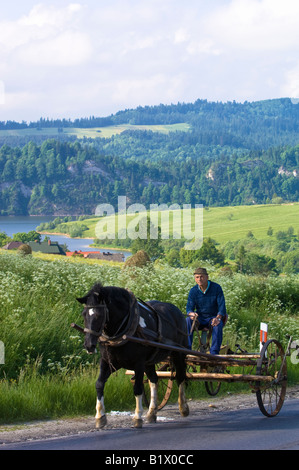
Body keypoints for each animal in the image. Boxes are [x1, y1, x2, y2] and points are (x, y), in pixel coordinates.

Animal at [77, 282, 190, 430]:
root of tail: (177, 311)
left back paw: (183, 407)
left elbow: (137, 388)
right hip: (150, 361)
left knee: (180, 376)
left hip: (178, 353)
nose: (88, 345)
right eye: (84, 314)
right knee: (154, 379)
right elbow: (99, 384)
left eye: (99, 315)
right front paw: (100, 416)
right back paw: (152, 413)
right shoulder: (108, 361)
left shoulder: (139, 363)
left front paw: (137, 417)